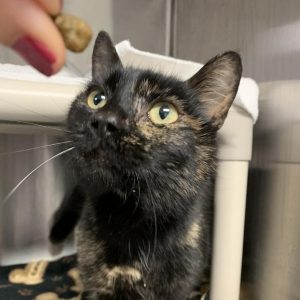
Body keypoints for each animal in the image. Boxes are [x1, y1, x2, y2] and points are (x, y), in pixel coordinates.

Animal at [49, 31, 241, 300]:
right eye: (97, 99)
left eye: (164, 112)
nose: (104, 120)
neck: (127, 216)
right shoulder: (96, 286)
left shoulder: (178, 288)